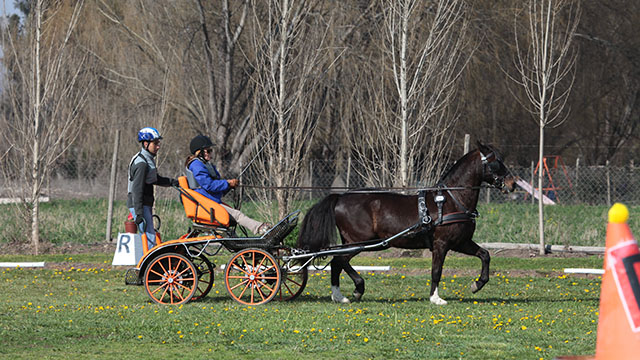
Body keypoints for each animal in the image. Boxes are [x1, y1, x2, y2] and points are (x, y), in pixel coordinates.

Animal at [298, 142, 516, 306]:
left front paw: (477, 284)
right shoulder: (441, 244)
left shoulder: (460, 242)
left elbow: (485, 255)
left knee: (337, 263)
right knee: (339, 260)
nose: (513, 184)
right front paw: (436, 298)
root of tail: (340, 197)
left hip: (356, 242)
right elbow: (436, 270)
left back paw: (340, 296)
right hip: (361, 241)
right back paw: (356, 289)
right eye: (495, 163)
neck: (451, 200)